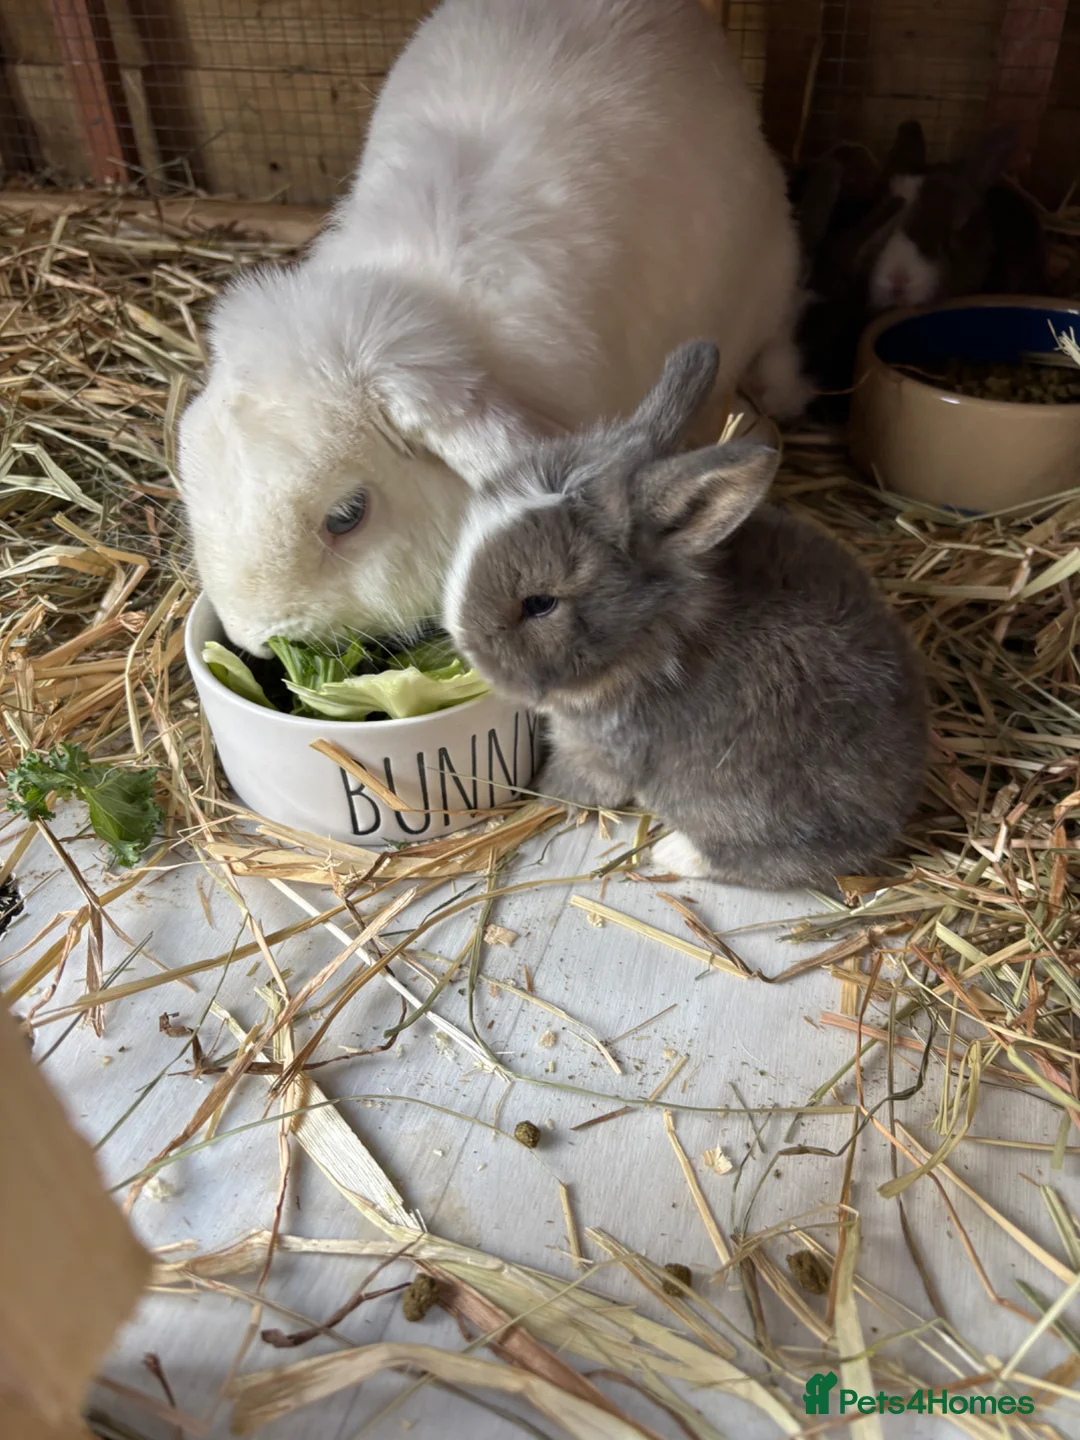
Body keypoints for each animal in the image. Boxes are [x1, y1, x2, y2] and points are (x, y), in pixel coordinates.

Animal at [444, 340, 927, 890]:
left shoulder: (601, 751)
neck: (653, 632)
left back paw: (674, 853)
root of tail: (894, 814)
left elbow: (584, 780)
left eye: (540, 603)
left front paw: (549, 793)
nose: (465, 646)